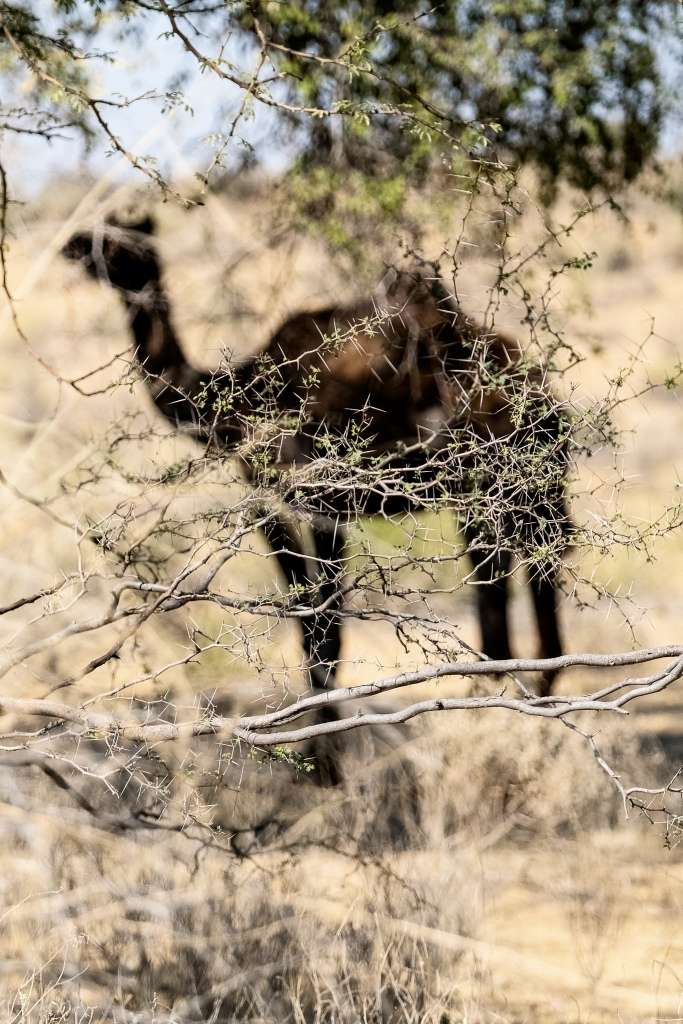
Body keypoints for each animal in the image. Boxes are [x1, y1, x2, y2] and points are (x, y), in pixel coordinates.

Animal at [62, 216, 569, 782]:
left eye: (131, 246)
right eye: (102, 242)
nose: (90, 258)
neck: (239, 399)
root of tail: (545, 395)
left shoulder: (323, 505)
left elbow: (326, 634)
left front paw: (326, 766)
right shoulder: (269, 506)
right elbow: (306, 625)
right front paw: (317, 758)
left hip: (511, 487)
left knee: (527, 586)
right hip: (493, 499)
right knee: (510, 592)